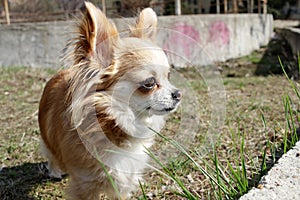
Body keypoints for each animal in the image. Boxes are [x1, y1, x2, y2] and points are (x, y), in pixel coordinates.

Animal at [39, 1, 182, 198]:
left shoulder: (122, 182)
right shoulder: (85, 184)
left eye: (168, 76)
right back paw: (54, 171)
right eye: (149, 83)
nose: (178, 94)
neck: (114, 122)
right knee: (50, 153)